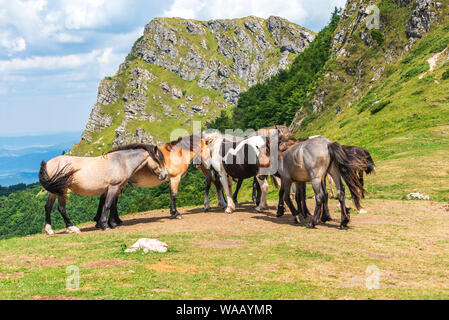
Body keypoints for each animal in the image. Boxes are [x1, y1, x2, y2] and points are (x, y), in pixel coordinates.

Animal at [38, 144, 167, 234]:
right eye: (159, 160)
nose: (164, 175)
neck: (121, 161)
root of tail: (48, 163)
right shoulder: (113, 187)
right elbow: (108, 205)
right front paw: (105, 225)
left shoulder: (115, 188)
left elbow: (111, 204)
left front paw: (112, 223)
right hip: (63, 190)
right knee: (61, 208)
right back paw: (72, 228)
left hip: (54, 191)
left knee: (48, 206)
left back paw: (49, 229)